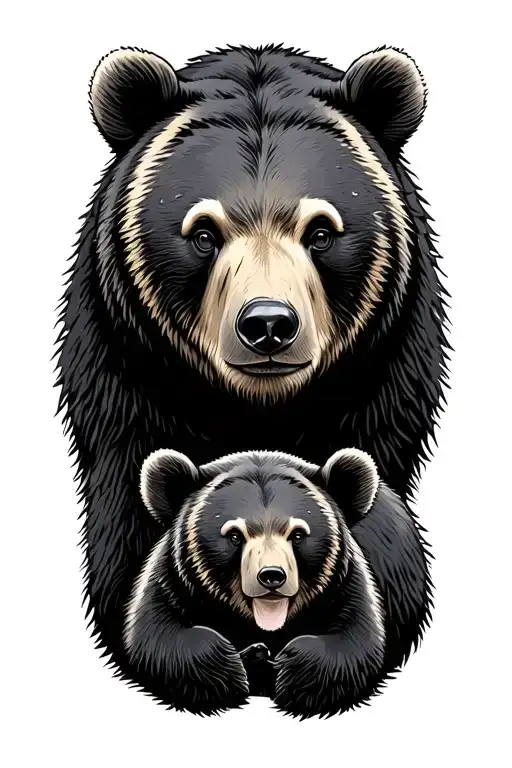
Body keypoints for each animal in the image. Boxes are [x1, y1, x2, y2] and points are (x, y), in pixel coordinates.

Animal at [123, 446, 429, 719]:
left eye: (298, 533)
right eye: (234, 534)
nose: (271, 575)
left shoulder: (347, 585)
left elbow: (354, 642)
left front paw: (287, 668)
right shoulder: (173, 580)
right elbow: (158, 636)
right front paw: (234, 667)